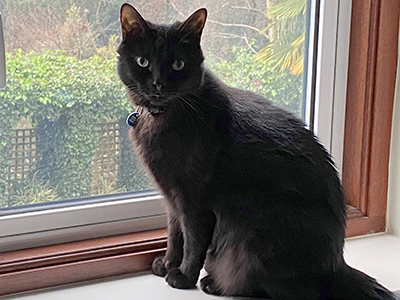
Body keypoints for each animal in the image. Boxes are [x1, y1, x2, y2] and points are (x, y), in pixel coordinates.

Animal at [117, 2, 396, 300]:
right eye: (143, 62)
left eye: (177, 64)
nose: (158, 84)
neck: (160, 118)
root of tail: (337, 267)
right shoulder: (171, 197)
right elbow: (174, 235)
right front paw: (168, 264)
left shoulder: (194, 199)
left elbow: (192, 240)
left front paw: (182, 276)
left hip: (256, 230)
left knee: (278, 287)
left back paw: (214, 283)